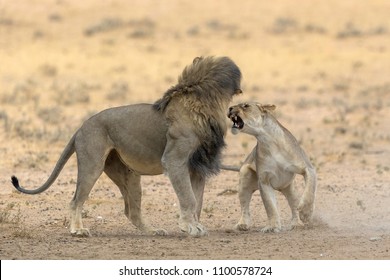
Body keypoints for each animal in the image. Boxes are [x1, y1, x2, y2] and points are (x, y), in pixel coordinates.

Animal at [10, 55, 242, 237]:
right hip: (92, 164)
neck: (204, 109)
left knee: (132, 211)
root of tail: (81, 127)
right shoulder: (174, 159)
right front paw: (190, 228)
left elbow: (197, 199)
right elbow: (189, 198)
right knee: (75, 200)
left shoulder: (197, 166)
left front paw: (195, 225)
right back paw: (78, 230)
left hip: (129, 175)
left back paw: (153, 231)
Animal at [227, 102, 316, 232]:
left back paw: (297, 224)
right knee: (244, 206)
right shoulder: (264, 181)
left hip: (289, 187)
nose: (229, 108)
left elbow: (310, 190)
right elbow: (270, 206)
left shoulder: (308, 168)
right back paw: (243, 224)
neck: (266, 139)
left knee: (294, 205)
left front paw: (305, 213)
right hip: (245, 174)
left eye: (245, 105)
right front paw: (273, 226)